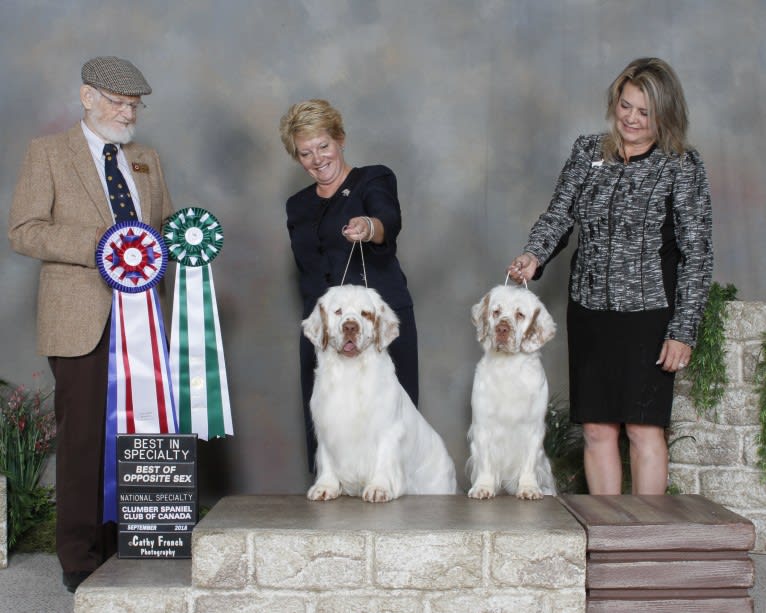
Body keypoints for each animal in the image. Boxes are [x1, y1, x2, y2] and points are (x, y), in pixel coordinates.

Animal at [300, 284, 456, 500]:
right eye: (338, 311)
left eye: (365, 314)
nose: (350, 327)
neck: (350, 370)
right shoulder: (326, 427)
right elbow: (327, 458)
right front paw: (325, 487)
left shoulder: (387, 429)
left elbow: (384, 459)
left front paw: (378, 489)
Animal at [468, 284, 560, 500]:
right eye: (496, 312)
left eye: (520, 314)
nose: (501, 329)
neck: (507, 367)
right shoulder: (483, 426)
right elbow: (485, 461)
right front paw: (483, 487)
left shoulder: (533, 428)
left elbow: (528, 463)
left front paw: (529, 489)